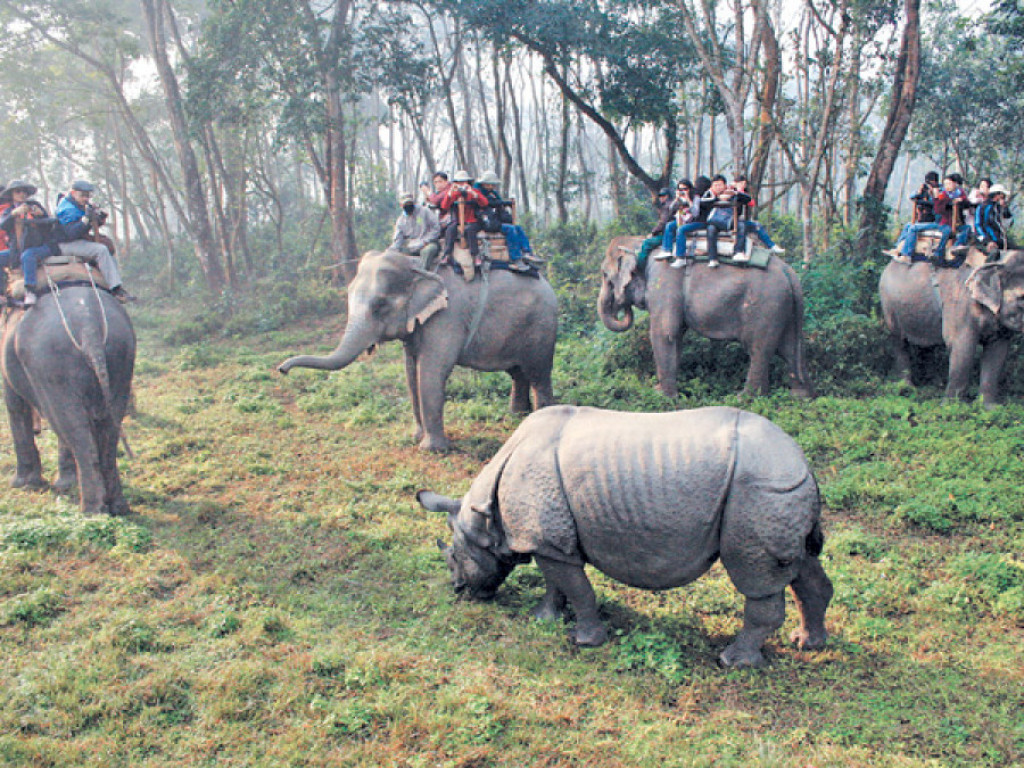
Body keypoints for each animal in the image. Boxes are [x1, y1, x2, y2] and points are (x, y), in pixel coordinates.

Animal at [2, 286, 136, 514]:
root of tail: (88, 325)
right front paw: (66, 483)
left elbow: (15, 405)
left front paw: (22, 484)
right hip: (122, 357)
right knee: (109, 427)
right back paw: (117, 506)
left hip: (51, 366)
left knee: (72, 426)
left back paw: (92, 510)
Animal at [276, 249, 557, 450]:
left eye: (379, 305)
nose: (281, 369)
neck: (417, 265)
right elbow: (411, 371)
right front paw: (415, 437)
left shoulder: (447, 316)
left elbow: (430, 371)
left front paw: (431, 450)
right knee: (518, 373)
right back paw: (516, 417)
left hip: (541, 327)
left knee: (538, 373)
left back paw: (540, 420)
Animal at [419, 405, 835, 671]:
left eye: (454, 557)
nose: (459, 591)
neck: (485, 516)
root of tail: (803, 461)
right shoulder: (548, 540)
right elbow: (556, 583)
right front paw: (544, 619)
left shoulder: (547, 537)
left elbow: (578, 589)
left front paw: (585, 641)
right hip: (779, 490)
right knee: (802, 565)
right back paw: (808, 642)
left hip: (760, 490)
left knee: (755, 576)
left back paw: (734, 662)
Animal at [598, 236, 811, 399]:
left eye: (604, 275)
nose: (621, 304)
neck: (641, 245)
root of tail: (789, 273)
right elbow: (676, 336)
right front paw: (662, 391)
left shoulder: (664, 283)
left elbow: (664, 333)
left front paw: (663, 397)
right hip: (786, 308)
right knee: (789, 348)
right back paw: (800, 397)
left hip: (765, 305)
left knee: (759, 349)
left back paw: (744, 398)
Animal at [876, 247, 1024, 405]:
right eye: (1022, 298)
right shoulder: (960, 306)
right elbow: (962, 348)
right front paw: (950, 406)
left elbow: (997, 352)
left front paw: (990, 407)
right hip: (889, 306)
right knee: (899, 342)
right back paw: (907, 388)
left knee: (926, 345)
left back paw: (931, 385)